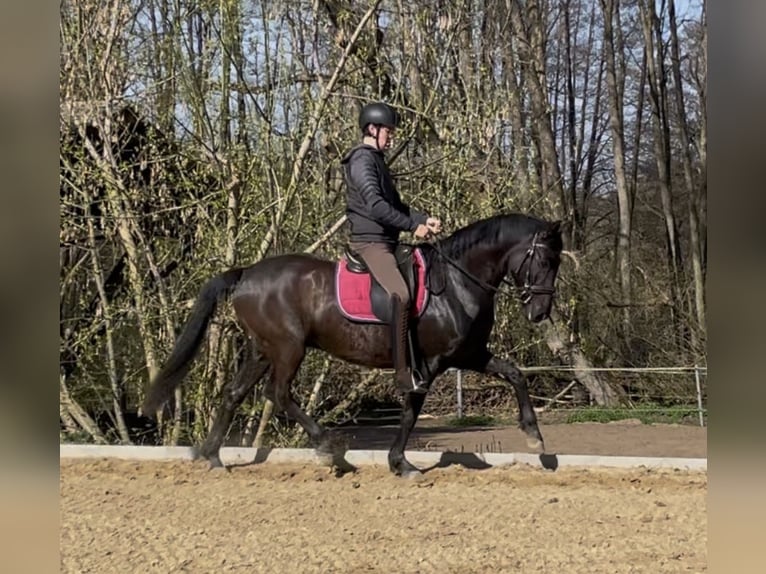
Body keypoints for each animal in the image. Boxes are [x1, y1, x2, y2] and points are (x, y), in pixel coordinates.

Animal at [141, 212, 565, 477]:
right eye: (545, 260)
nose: (540, 312)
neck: (458, 282)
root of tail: (247, 274)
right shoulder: (429, 364)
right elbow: (410, 412)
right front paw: (401, 464)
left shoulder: (468, 353)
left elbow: (515, 374)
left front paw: (535, 437)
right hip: (288, 348)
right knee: (278, 394)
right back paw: (329, 449)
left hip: (262, 349)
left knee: (233, 393)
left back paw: (213, 457)